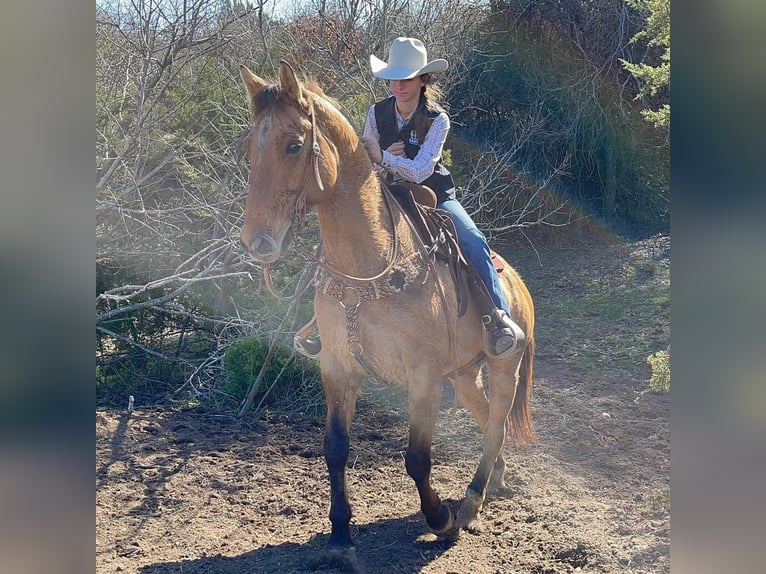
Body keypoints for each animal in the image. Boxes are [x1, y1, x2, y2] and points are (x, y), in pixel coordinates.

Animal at [237, 62, 536, 560]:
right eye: (248, 147)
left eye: (293, 144)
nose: (257, 242)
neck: (369, 267)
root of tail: (518, 285)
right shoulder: (338, 367)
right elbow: (335, 447)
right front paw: (340, 533)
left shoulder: (424, 377)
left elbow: (417, 458)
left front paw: (439, 520)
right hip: (465, 375)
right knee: (484, 417)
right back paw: (495, 480)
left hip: (503, 366)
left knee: (495, 423)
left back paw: (470, 505)